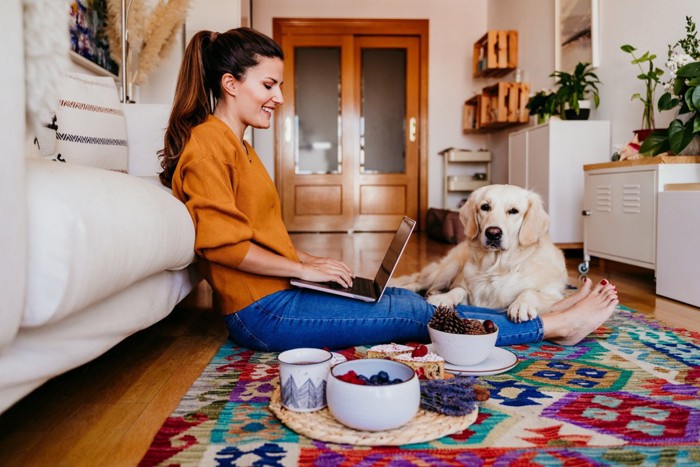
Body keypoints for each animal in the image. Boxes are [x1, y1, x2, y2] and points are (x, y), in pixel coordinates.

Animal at [392, 185, 568, 324]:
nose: (493, 233)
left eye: (514, 211)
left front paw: (520, 305)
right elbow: (459, 290)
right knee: (418, 283)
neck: (497, 267)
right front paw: (444, 298)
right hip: (448, 270)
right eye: (485, 207)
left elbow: (531, 292)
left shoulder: (556, 296)